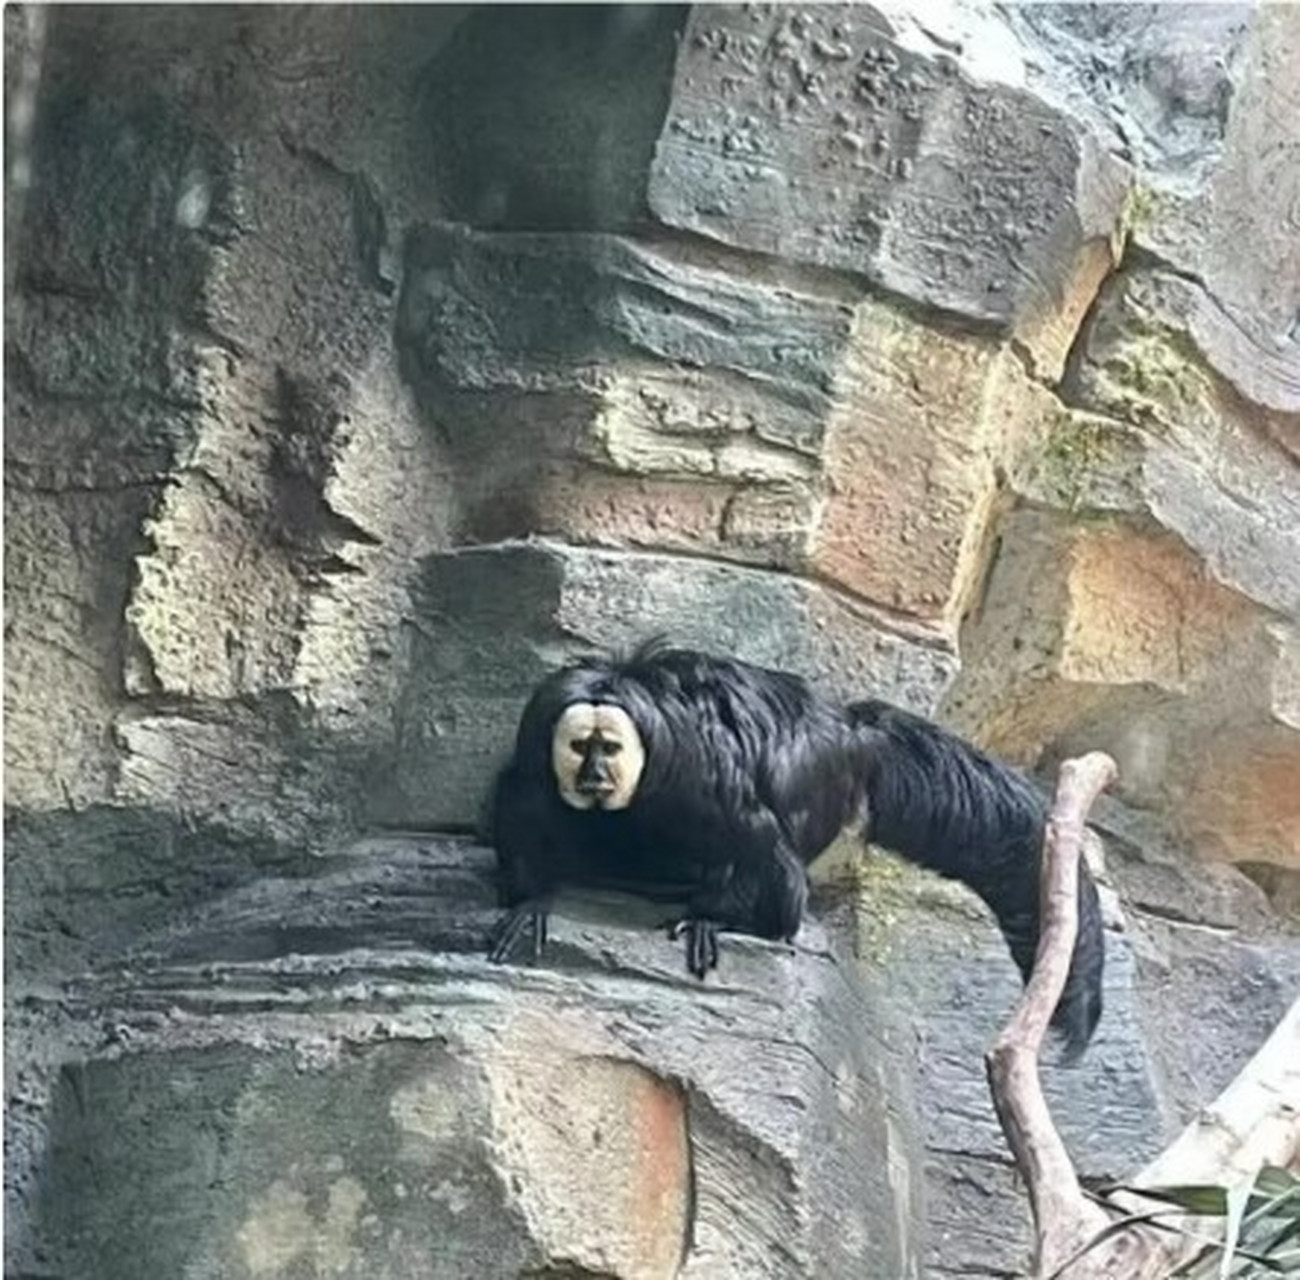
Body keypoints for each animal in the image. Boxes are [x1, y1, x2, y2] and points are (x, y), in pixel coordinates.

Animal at [488, 636, 1107, 1049]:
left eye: (610, 749)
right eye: (580, 747)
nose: (594, 773)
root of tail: (851, 732)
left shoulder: (697, 772)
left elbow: (754, 840)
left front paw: (720, 919)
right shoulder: (538, 737)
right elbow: (520, 803)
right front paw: (530, 902)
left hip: (816, 778)